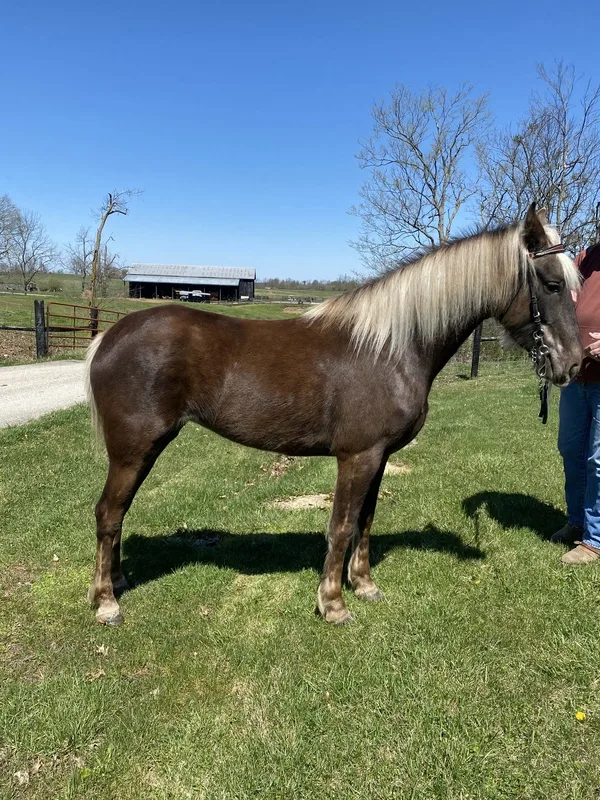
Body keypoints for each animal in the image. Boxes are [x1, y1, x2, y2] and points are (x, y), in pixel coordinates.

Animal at [85, 204, 582, 627]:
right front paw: (333, 604)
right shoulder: (357, 456)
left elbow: (366, 520)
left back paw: (117, 581)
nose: (575, 363)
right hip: (134, 450)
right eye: (552, 284)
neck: (391, 347)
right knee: (108, 513)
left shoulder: (379, 457)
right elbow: (341, 525)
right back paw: (107, 602)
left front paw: (363, 585)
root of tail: (109, 337)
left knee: (118, 514)